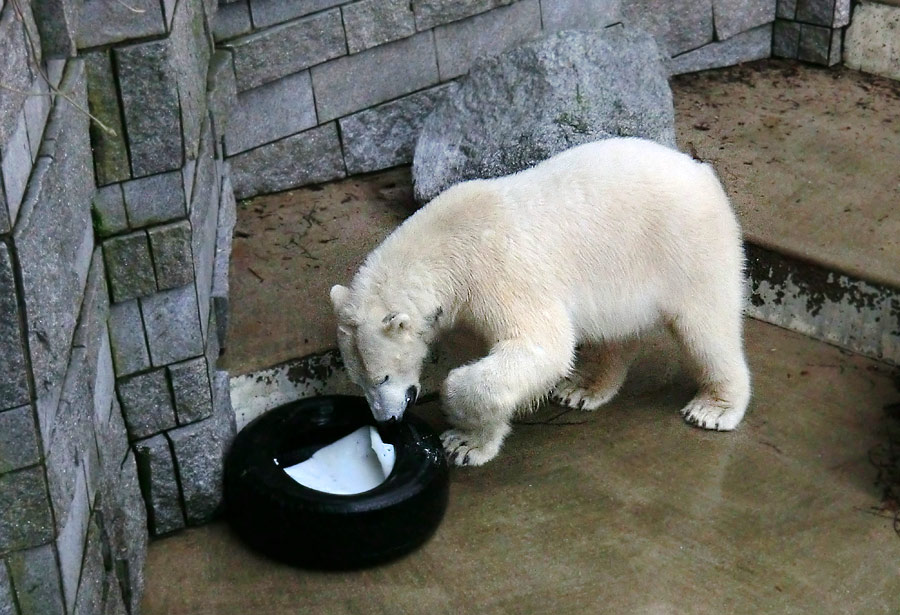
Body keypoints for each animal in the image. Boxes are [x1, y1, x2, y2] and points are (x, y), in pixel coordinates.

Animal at [330, 138, 752, 466]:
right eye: (359, 380)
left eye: (383, 377)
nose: (387, 421)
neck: (445, 243)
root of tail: (702, 171)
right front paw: (472, 441)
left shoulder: (498, 273)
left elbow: (541, 345)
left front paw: (459, 434)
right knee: (618, 331)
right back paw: (584, 388)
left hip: (687, 246)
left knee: (706, 328)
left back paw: (714, 408)